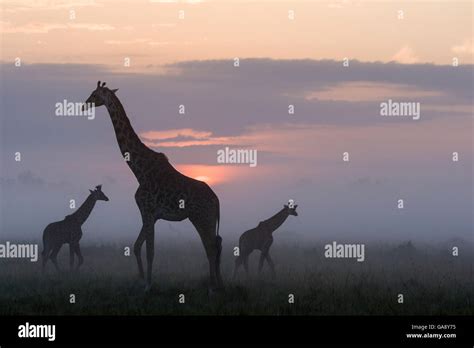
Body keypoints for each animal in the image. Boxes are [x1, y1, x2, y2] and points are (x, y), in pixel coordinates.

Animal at [82, 81, 223, 290]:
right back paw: (220, 283)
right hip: (206, 218)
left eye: (94, 94)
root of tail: (216, 200)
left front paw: (148, 285)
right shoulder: (151, 215)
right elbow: (137, 246)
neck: (139, 171)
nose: (84, 105)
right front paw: (141, 279)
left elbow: (150, 250)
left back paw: (213, 287)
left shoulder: (147, 211)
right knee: (216, 244)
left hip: (202, 217)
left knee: (211, 247)